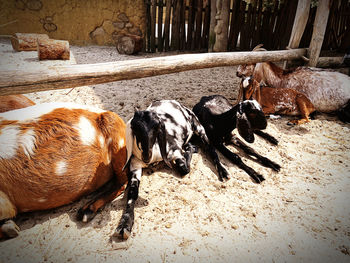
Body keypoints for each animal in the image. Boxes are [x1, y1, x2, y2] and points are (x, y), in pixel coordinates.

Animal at [115, 100, 230, 240]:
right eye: (135, 128)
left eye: (156, 127)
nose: (146, 156)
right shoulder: (135, 165)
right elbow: (132, 192)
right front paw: (124, 224)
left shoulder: (175, 151)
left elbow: (184, 169)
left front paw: (190, 149)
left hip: (199, 127)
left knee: (210, 149)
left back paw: (223, 171)